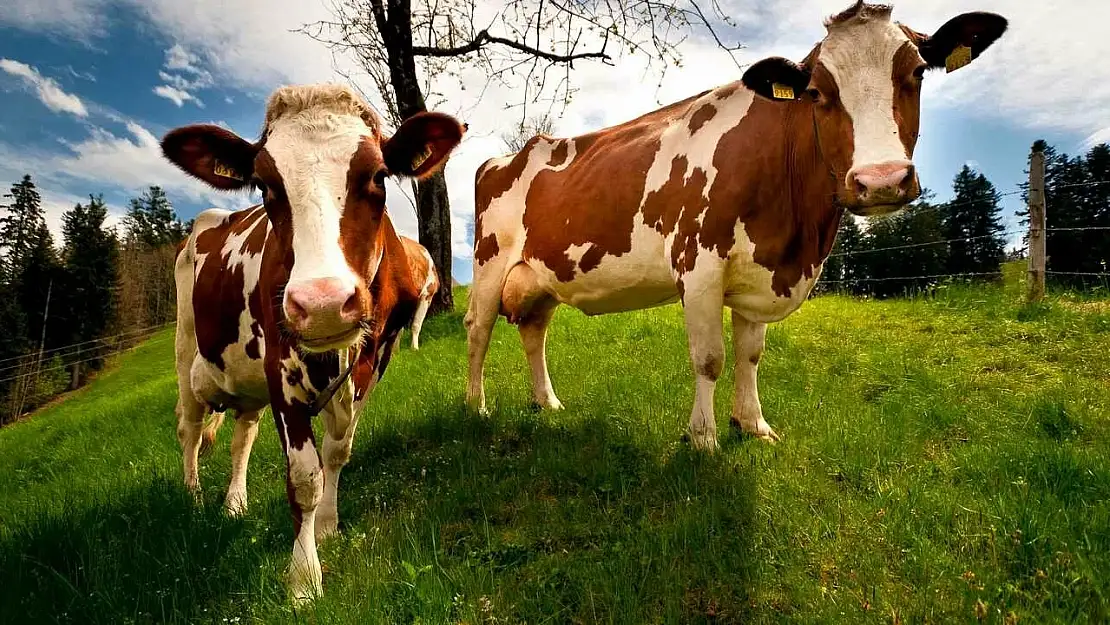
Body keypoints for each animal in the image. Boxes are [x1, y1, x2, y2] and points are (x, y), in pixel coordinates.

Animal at [160, 83, 463, 599]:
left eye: (379, 175)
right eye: (265, 185)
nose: (323, 303)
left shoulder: (373, 361)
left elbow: (338, 451)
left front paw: (326, 526)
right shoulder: (281, 372)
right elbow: (304, 478)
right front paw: (303, 579)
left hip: (246, 382)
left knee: (242, 435)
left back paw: (234, 501)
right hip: (186, 353)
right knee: (190, 428)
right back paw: (194, 497)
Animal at [463, 0, 1012, 450]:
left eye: (917, 72)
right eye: (817, 91)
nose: (880, 180)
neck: (797, 238)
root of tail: (506, 155)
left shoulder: (760, 271)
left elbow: (750, 355)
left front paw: (752, 425)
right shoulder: (699, 267)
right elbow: (710, 357)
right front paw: (703, 438)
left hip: (540, 277)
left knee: (534, 332)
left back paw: (547, 402)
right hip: (491, 263)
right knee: (478, 329)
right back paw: (476, 406)